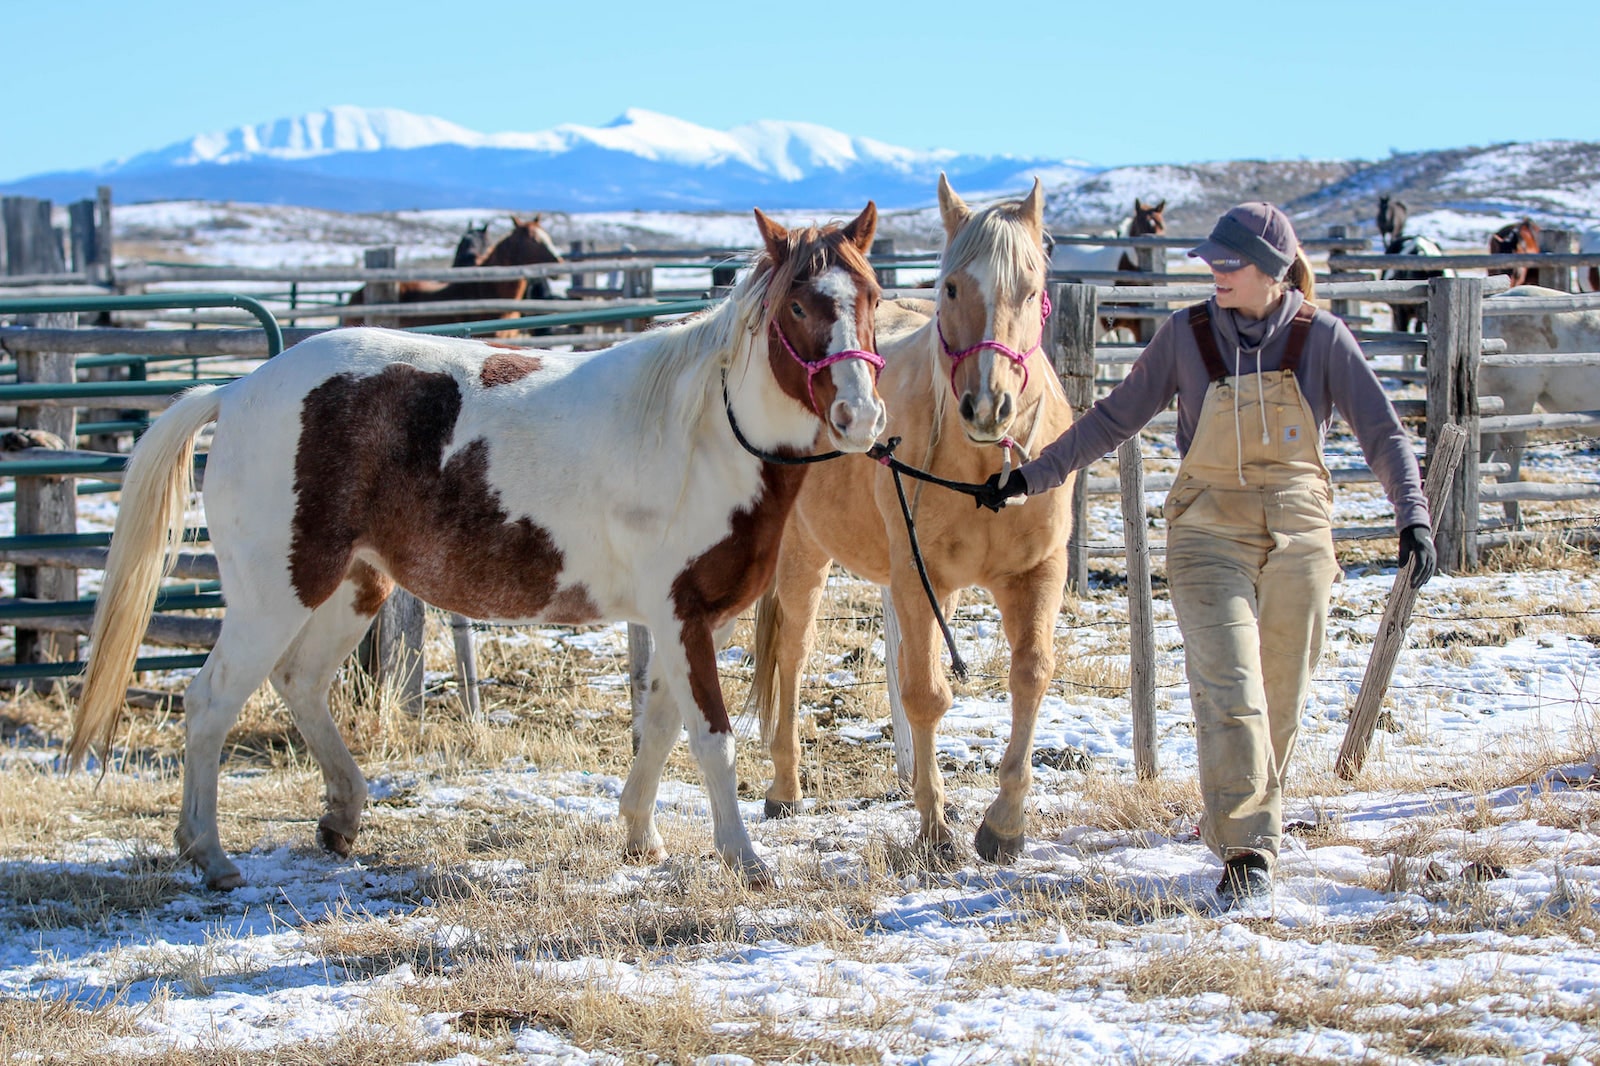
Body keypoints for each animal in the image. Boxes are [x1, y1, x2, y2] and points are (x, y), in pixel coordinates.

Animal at [748, 172, 1075, 857]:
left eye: (1031, 289)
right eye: (950, 286)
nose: (988, 406)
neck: (986, 475)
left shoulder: (1037, 575)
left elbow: (1031, 676)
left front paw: (1005, 824)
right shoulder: (918, 582)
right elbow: (925, 694)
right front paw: (935, 828)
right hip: (803, 558)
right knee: (793, 655)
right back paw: (785, 788)